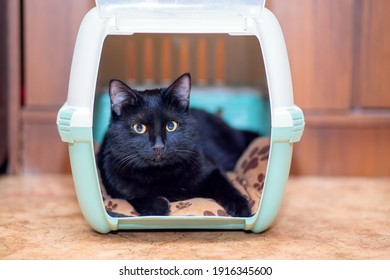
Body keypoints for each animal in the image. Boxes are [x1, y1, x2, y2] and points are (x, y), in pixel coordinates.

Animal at [96, 72, 258, 217]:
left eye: (171, 126)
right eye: (139, 128)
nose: (159, 147)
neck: (159, 173)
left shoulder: (211, 168)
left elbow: (223, 185)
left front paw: (241, 206)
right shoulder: (115, 183)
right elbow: (132, 196)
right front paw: (157, 205)